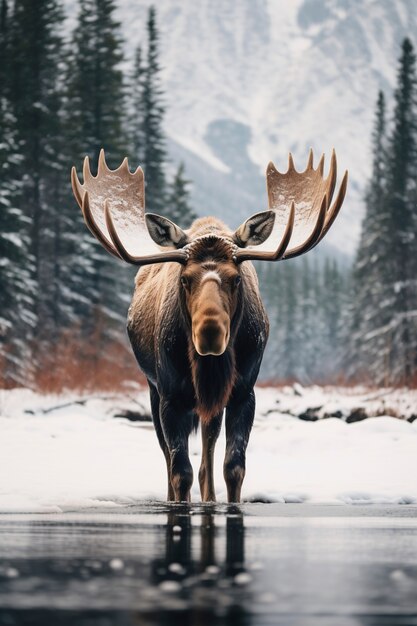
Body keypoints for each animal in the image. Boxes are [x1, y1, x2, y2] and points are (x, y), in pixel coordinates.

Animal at [70, 147, 344, 502]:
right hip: (154, 390)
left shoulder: (243, 392)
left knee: (207, 454)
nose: (210, 333)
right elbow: (179, 470)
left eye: (236, 278)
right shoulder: (170, 396)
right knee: (169, 456)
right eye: (184, 278)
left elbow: (233, 465)